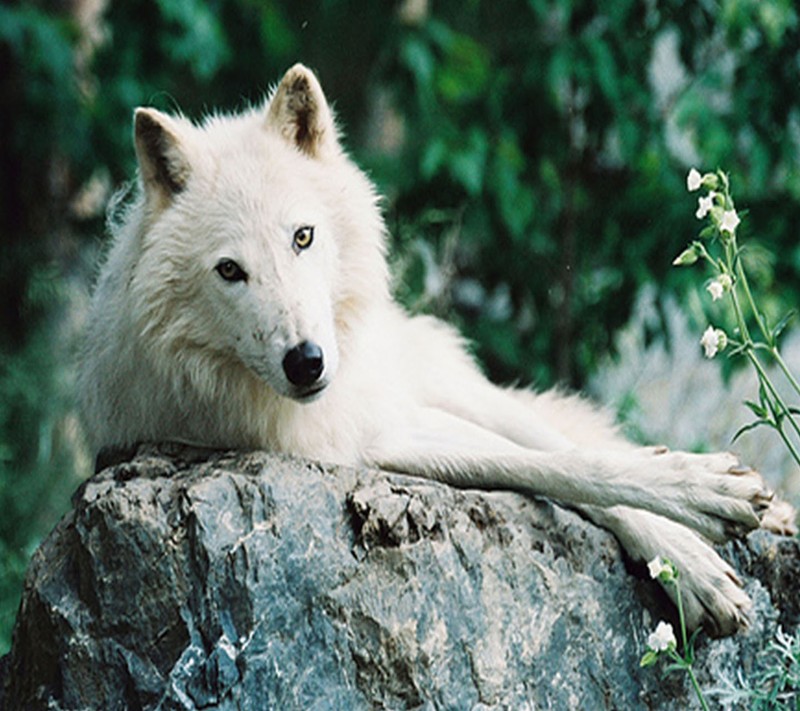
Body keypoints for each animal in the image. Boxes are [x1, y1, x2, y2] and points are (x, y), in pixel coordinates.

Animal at [79, 64, 792, 636]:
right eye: (230, 271)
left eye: (302, 237)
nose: (306, 363)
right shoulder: (367, 445)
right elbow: (550, 469)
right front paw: (697, 539)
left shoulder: (390, 415)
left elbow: (574, 459)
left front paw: (702, 510)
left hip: (448, 386)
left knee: (555, 430)